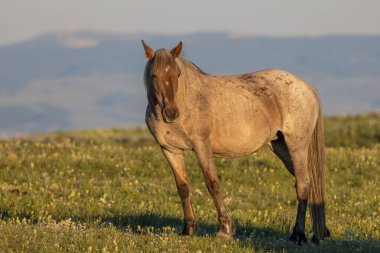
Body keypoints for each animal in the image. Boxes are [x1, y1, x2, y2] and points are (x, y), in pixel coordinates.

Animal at [140, 40, 330, 243]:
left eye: (177, 74)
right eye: (154, 75)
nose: (171, 113)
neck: (186, 100)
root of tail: (306, 87)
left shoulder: (201, 146)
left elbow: (212, 184)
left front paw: (226, 229)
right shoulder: (170, 150)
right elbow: (182, 187)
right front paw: (188, 229)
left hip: (297, 146)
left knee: (303, 183)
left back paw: (298, 234)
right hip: (280, 147)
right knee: (305, 182)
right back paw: (320, 232)